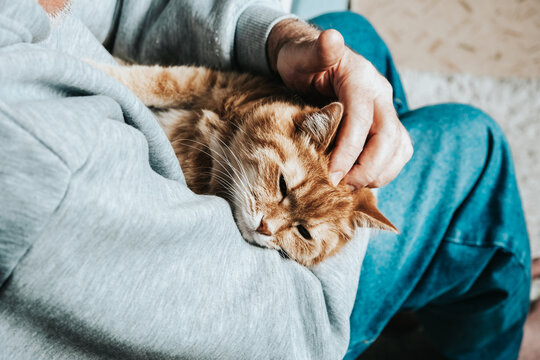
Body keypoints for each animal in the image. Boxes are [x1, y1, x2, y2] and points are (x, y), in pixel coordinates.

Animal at [96, 63, 396, 266]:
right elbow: (156, 81)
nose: (265, 228)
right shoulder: (210, 79)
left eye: (304, 232)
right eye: (283, 185)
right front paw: (95, 66)